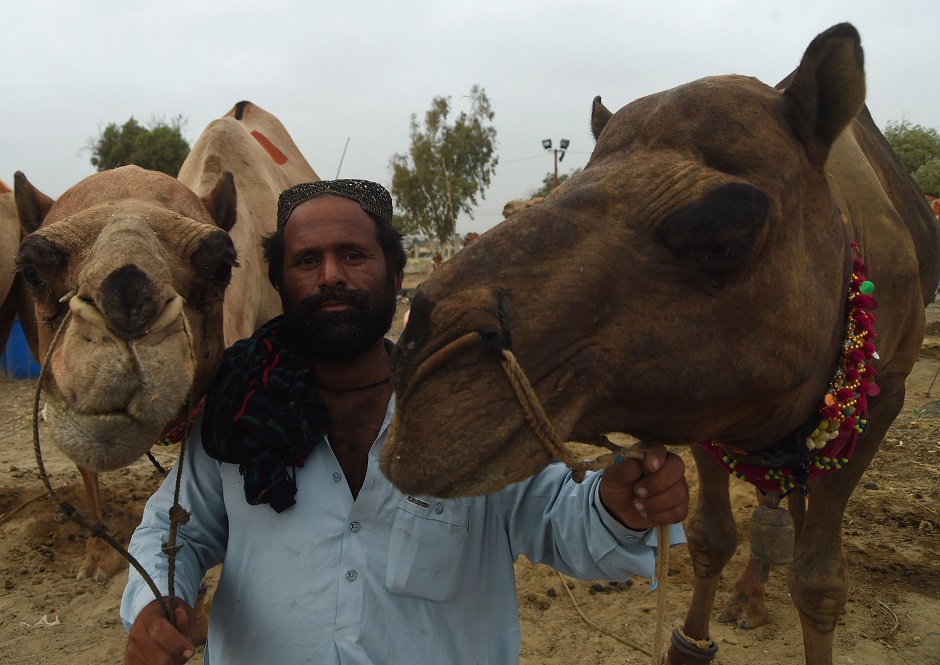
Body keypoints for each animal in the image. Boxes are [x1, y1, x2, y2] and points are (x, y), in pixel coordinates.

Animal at [382, 22, 940, 664]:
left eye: (728, 230)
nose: (418, 377)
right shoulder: (708, 404)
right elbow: (710, 538)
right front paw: (692, 640)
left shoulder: (886, 390)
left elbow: (819, 581)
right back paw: (748, 595)